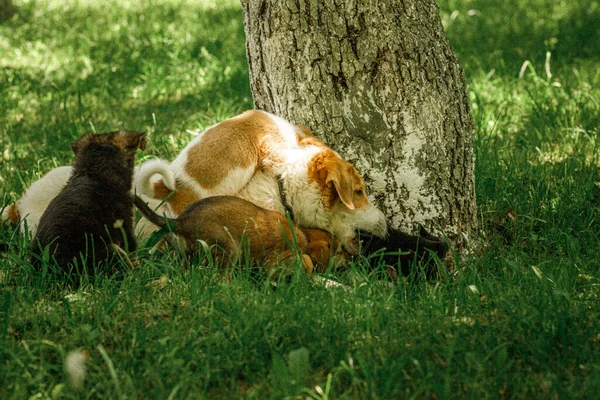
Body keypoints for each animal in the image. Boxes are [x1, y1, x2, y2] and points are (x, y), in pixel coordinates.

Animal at [134, 195, 344, 276]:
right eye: (340, 251)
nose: (351, 260)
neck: (305, 234)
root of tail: (181, 221)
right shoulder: (279, 258)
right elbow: (306, 261)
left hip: (190, 255)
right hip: (229, 249)